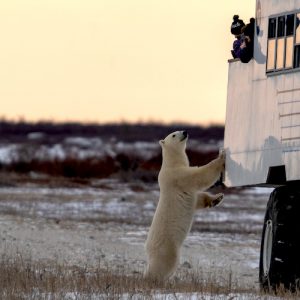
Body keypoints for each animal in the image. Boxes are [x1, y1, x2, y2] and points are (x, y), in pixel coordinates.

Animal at [144, 130, 225, 282]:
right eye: (174, 135)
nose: (185, 131)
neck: (172, 163)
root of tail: (149, 250)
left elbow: (197, 199)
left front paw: (217, 198)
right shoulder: (178, 176)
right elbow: (199, 176)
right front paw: (221, 158)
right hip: (167, 246)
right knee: (165, 263)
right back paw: (152, 278)